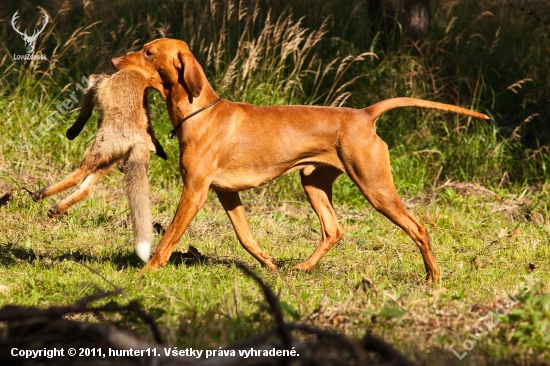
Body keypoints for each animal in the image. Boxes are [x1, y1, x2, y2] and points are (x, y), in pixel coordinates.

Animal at [29, 69, 167, 264]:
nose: (123, 168)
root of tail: (139, 138)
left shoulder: (97, 82)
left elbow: (85, 108)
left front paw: (73, 131)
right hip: (105, 161)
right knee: (86, 189)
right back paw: (57, 208)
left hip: (97, 151)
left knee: (76, 177)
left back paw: (39, 194)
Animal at [113, 38, 492, 284]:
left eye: (148, 51)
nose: (115, 63)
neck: (200, 113)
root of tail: (365, 114)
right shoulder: (226, 192)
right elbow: (246, 237)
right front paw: (269, 265)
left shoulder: (195, 191)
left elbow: (169, 237)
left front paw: (147, 271)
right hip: (313, 182)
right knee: (333, 230)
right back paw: (304, 268)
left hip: (375, 187)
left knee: (418, 228)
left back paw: (433, 278)